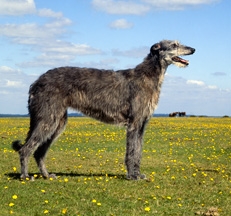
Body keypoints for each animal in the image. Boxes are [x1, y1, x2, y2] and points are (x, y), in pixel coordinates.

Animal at [12, 40, 195, 181]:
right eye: (174, 45)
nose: (193, 49)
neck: (149, 75)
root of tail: (36, 82)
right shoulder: (134, 123)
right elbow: (131, 151)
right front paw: (132, 176)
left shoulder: (142, 124)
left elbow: (138, 151)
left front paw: (138, 174)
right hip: (48, 119)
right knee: (26, 149)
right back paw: (25, 176)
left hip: (58, 122)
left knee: (39, 152)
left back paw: (46, 175)